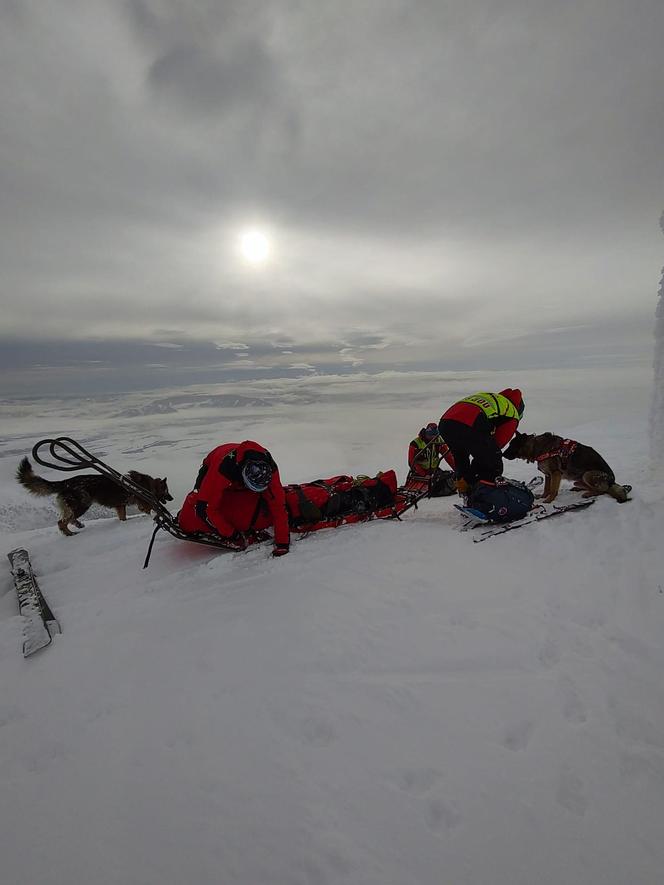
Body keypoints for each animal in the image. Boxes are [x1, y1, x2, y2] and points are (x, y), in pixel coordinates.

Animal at [17, 460, 174, 536]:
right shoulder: (143, 503)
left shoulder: (120, 506)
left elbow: (122, 517)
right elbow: (150, 509)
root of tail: (65, 482)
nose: (172, 498)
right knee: (61, 522)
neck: (149, 485)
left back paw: (78, 525)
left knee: (68, 518)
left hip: (78, 505)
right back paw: (69, 533)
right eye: (167, 491)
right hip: (82, 504)